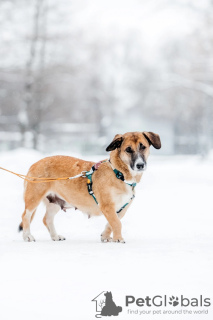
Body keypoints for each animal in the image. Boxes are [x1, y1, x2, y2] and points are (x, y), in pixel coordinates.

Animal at [19, 131, 161, 241]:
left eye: (143, 147)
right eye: (128, 150)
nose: (140, 165)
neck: (119, 173)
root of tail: (34, 164)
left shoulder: (122, 208)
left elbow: (112, 224)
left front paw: (106, 236)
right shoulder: (107, 206)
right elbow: (116, 223)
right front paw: (118, 239)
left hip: (55, 202)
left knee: (47, 219)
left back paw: (55, 236)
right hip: (33, 199)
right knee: (25, 216)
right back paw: (27, 236)